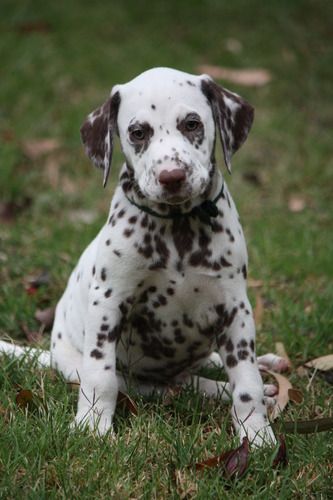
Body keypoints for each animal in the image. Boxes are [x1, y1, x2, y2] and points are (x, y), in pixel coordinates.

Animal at [0, 68, 286, 448]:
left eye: (192, 123)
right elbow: (101, 377)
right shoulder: (109, 303)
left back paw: (266, 367)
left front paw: (256, 435)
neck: (177, 226)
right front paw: (92, 425)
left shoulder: (234, 308)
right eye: (138, 132)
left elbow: (246, 381)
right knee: (175, 386)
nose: (172, 177)